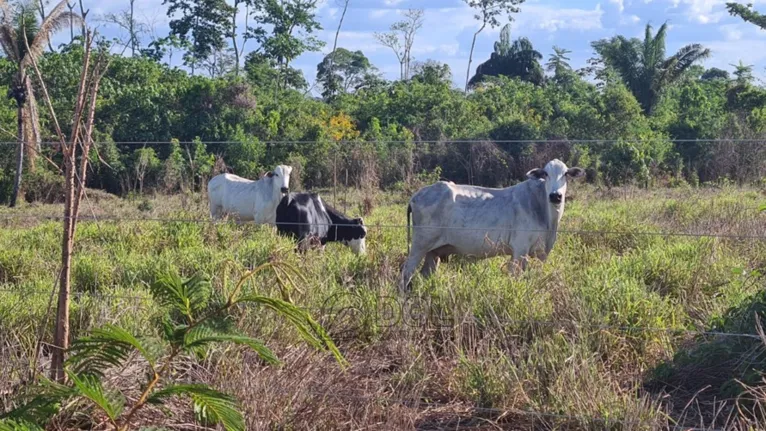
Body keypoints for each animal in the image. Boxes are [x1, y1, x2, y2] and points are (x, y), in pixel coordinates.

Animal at [400, 159, 584, 294]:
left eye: (566, 174)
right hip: (419, 245)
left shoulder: (542, 254)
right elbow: (515, 277)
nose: (555, 196)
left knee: (424, 275)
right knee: (405, 274)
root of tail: (417, 195)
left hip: (433, 252)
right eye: (545, 173)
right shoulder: (520, 250)